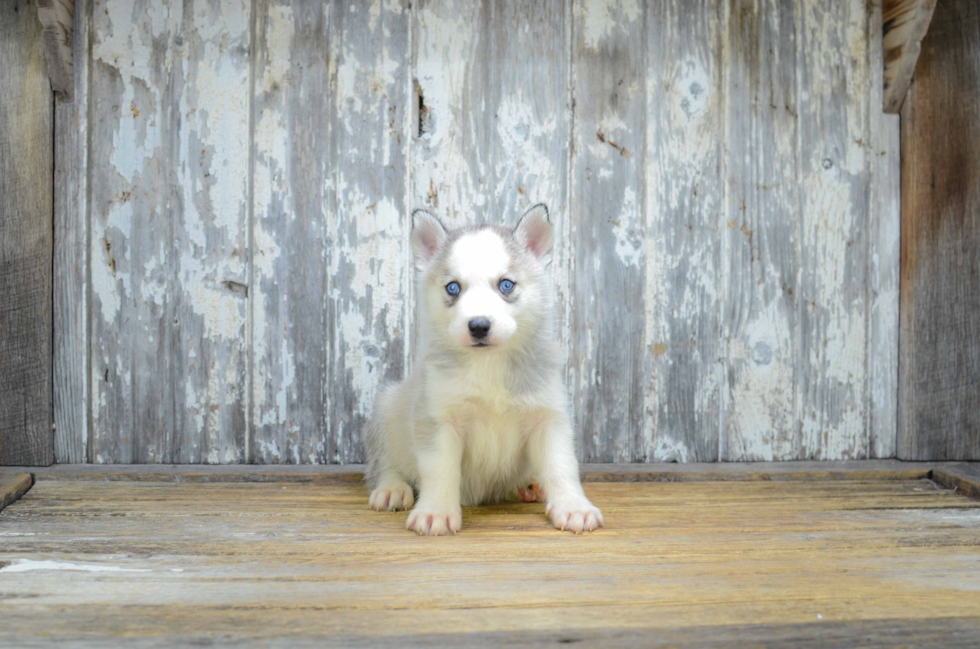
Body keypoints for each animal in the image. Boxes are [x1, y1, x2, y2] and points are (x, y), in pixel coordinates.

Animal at [364, 204, 600, 536]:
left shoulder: (548, 417)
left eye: (506, 284)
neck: (488, 365)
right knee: (384, 464)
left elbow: (561, 465)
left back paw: (529, 485)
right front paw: (435, 512)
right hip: (386, 410)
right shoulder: (438, 419)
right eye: (453, 288)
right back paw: (391, 488)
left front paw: (573, 506)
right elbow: (439, 469)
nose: (478, 326)